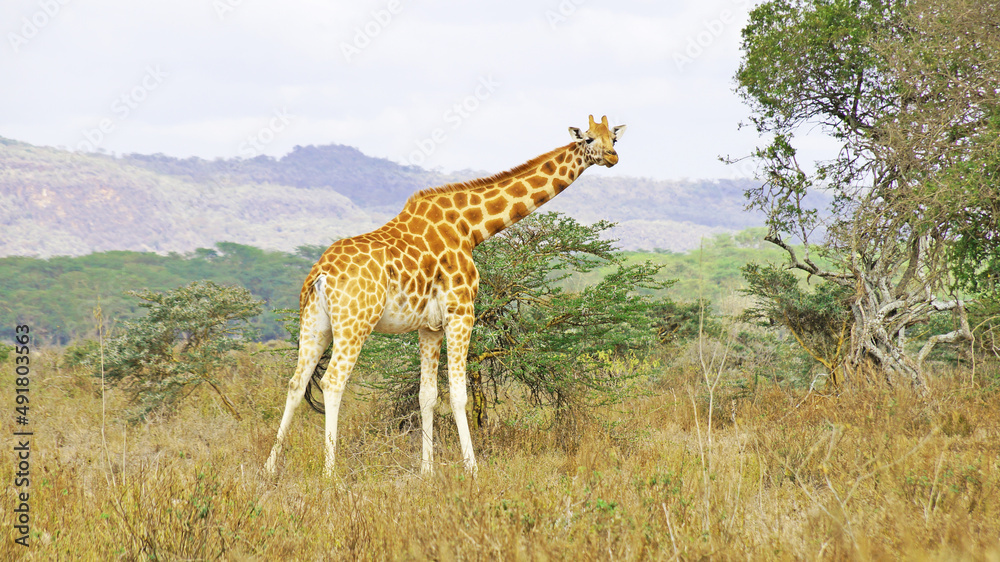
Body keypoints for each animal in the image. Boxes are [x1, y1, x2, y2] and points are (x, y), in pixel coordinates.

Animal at [264, 115, 626, 477]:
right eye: (589, 139)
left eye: (614, 139)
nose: (612, 157)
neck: (470, 227)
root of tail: (321, 274)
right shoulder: (461, 311)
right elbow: (458, 394)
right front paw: (472, 469)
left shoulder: (430, 326)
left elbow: (427, 395)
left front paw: (427, 471)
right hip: (356, 323)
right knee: (333, 382)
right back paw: (330, 472)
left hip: (316, 323)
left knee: (296, 383)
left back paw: (269, 468)